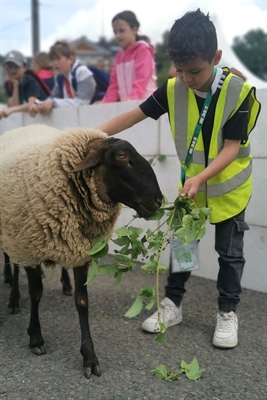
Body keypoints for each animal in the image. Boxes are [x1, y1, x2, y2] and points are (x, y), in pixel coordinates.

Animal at [0, 125, 162, 378]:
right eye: (121, 156)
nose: (158, 200)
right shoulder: (28, 246)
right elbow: (36, 293)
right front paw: (35, 337)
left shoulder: (81, 251)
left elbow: (82, 301)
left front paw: (89, 356)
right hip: (11, 235)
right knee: (12, 262)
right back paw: (13, 294)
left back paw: (63, 284)